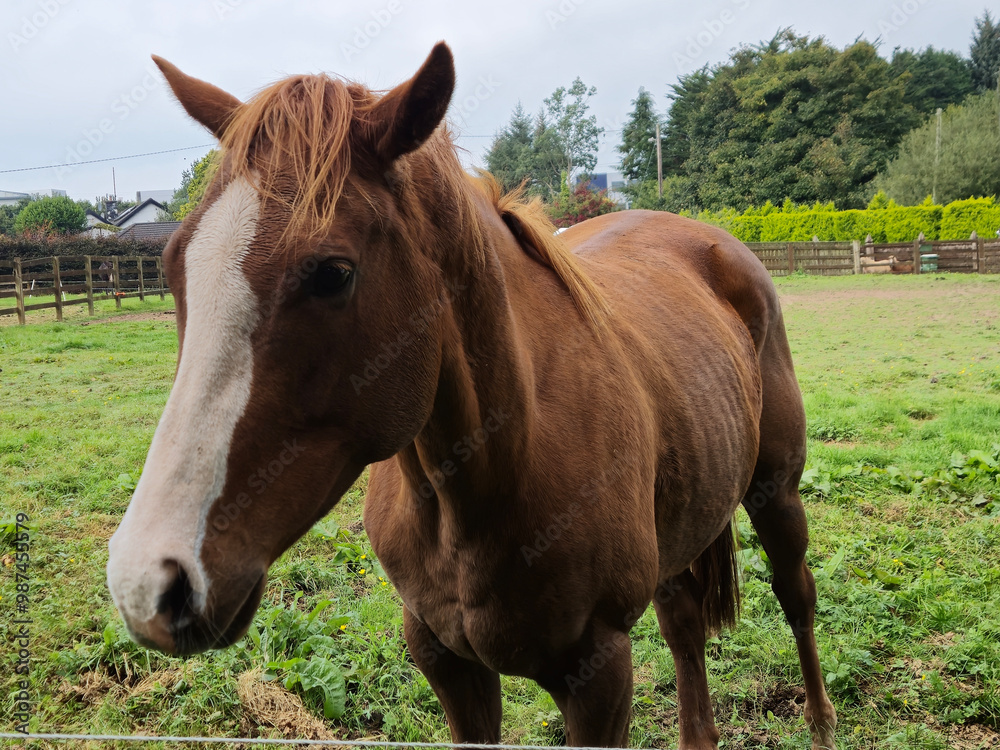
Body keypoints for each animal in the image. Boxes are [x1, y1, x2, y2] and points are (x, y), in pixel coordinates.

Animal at [106, 43, 837, 750]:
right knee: (685, 626)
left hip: (776, 492)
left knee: (795, 595)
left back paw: (821, 721)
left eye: (333, 273)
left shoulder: (599, 673)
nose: (149, 583)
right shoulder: (445, 660)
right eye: (173, 264)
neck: (496, 475)